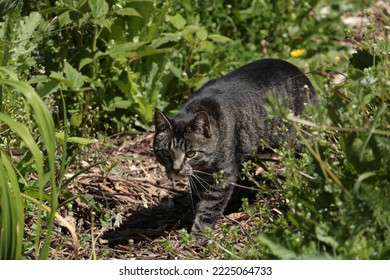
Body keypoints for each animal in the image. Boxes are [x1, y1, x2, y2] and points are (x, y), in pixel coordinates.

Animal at [153, 59, 316, 238]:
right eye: (165, 152)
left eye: (190, 153)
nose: (176, 169)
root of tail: (301, 74)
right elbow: (198, 199)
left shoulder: (222, 177)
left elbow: (208, 209)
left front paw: (197, 235)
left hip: (299, 142)